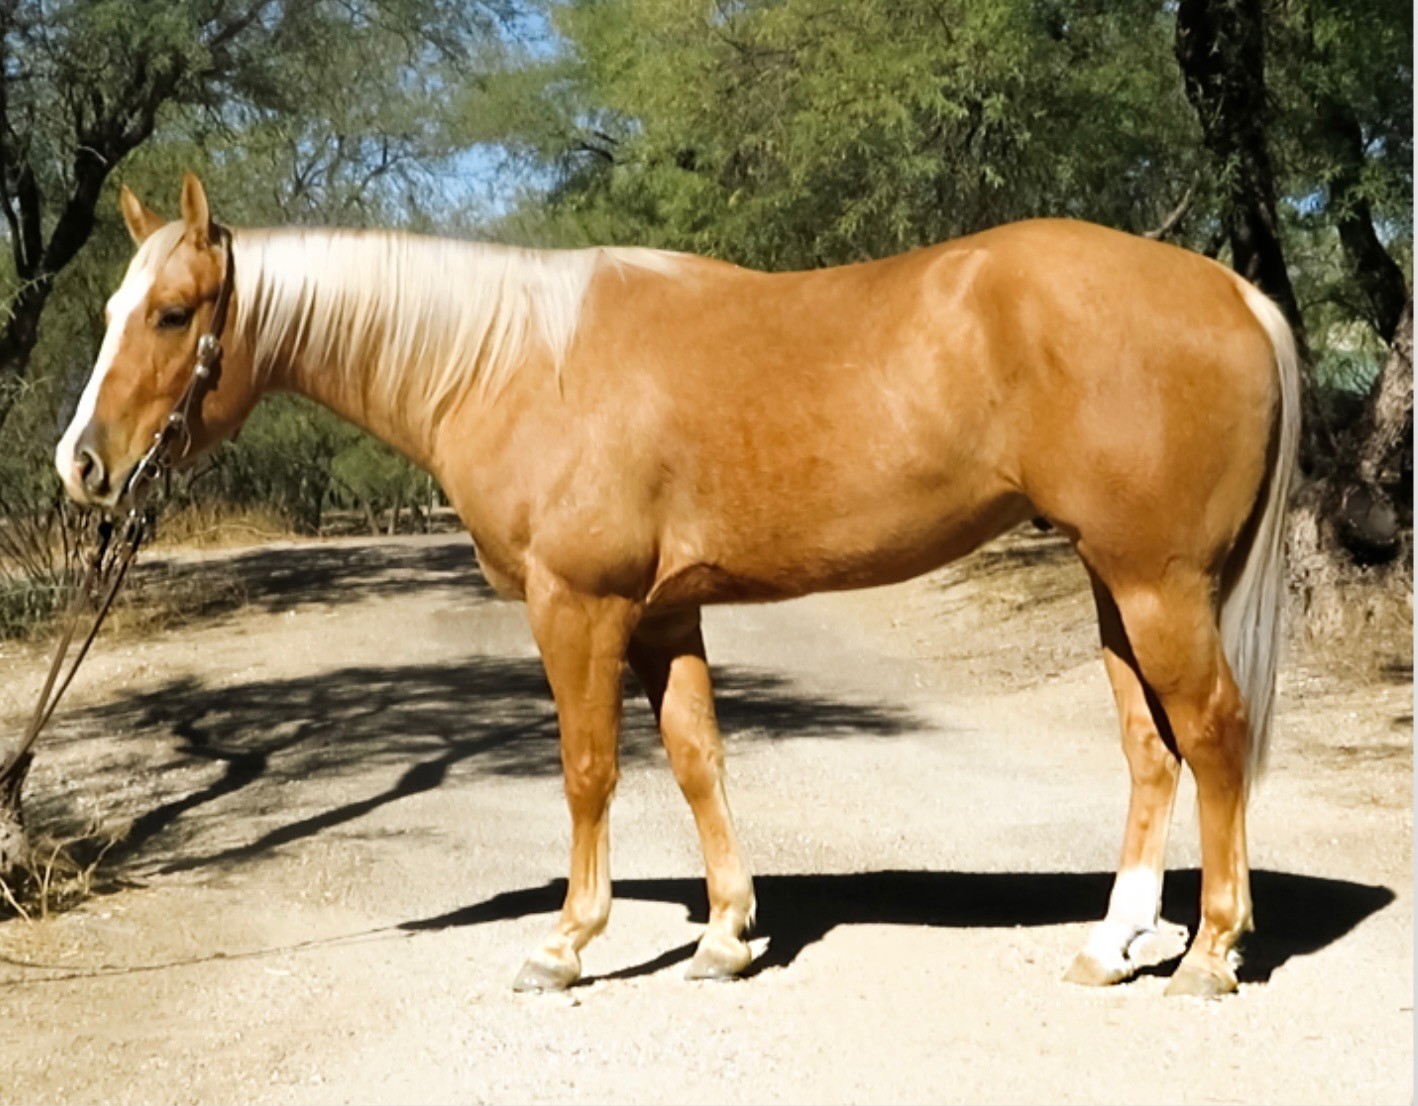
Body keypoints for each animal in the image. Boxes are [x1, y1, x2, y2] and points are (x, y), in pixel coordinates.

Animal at [55, 172, 1298, 992]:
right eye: (107, 311)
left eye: (172, 313)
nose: (81, 466)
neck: (510, 359)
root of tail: (1231, 292)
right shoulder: (663, 611)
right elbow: (699, 758)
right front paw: (723, 935)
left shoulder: (579, 605)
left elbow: (589, 770)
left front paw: (564, 942)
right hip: (1112, 583)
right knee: (1151, 751)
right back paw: (1111, 944)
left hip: (1155, 584)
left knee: (1213, 733)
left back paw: (1210, 948)